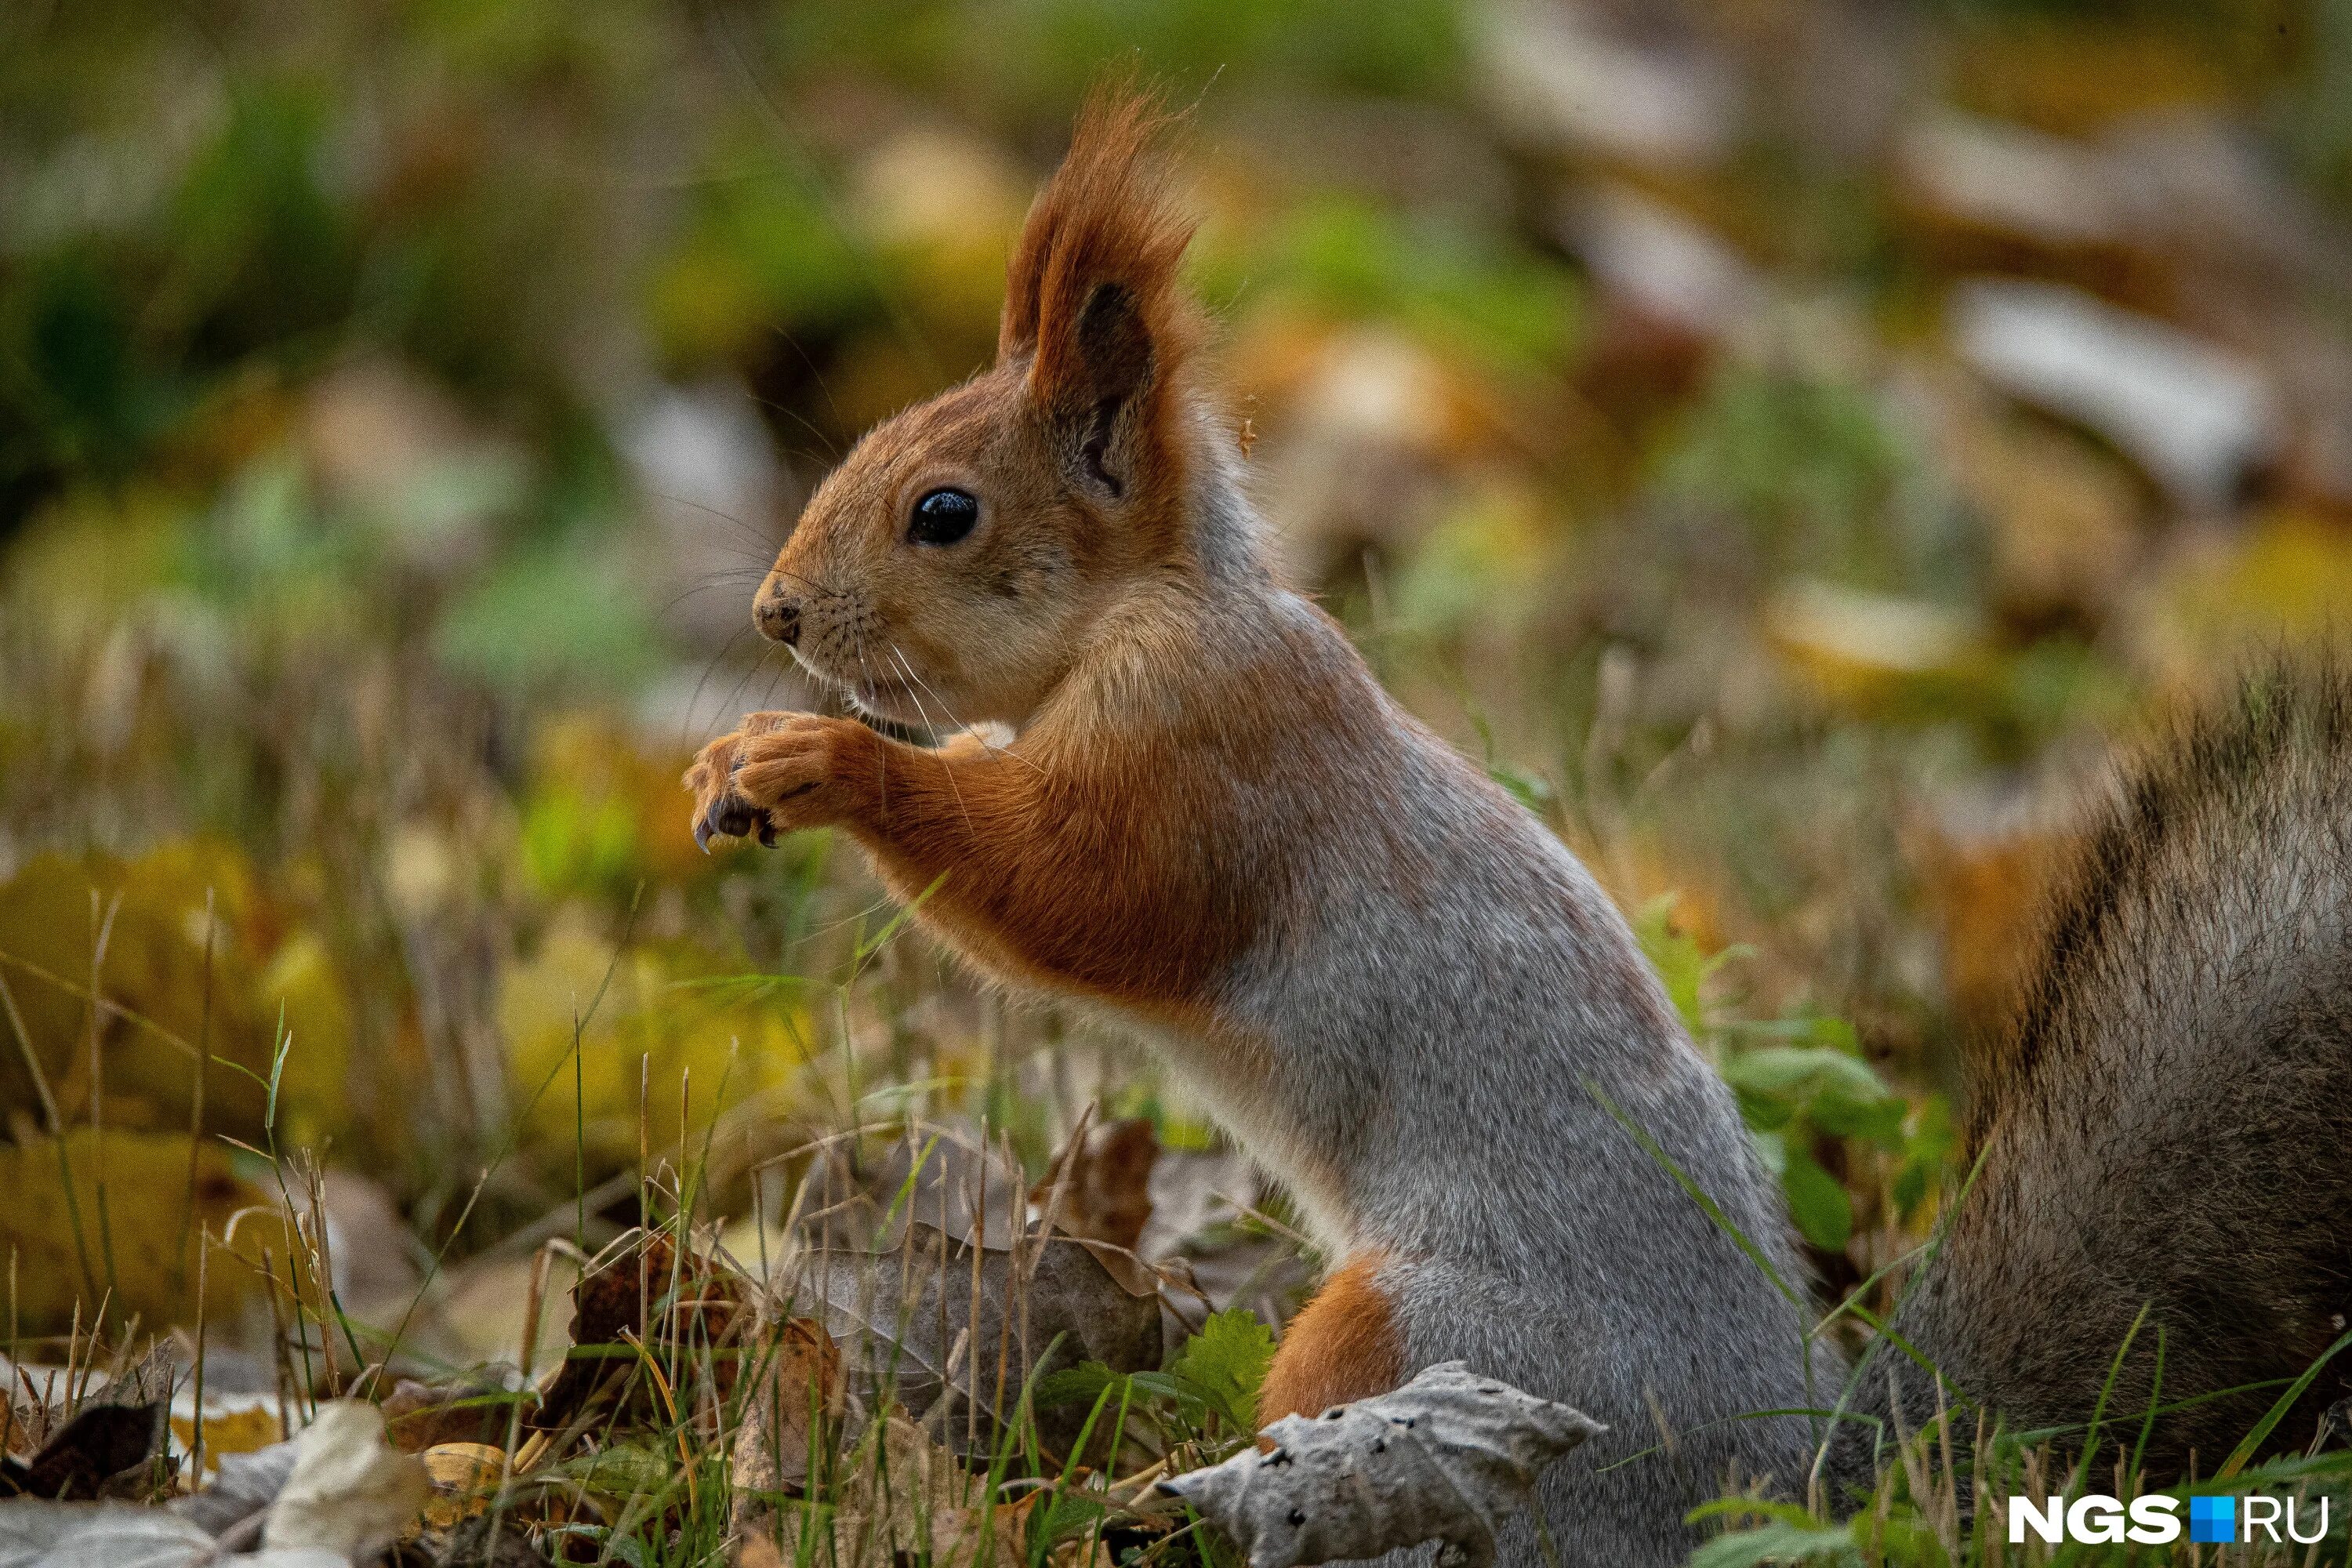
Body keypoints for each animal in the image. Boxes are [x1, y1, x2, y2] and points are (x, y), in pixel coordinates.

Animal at [687, 89, 2352, 1568]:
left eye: (944, 512)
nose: (773, 613)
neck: (1154, 610)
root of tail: (1778, 1483)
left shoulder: (1205, 756)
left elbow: (1069, 892)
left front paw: (824, 761)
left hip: (1431, 1340)